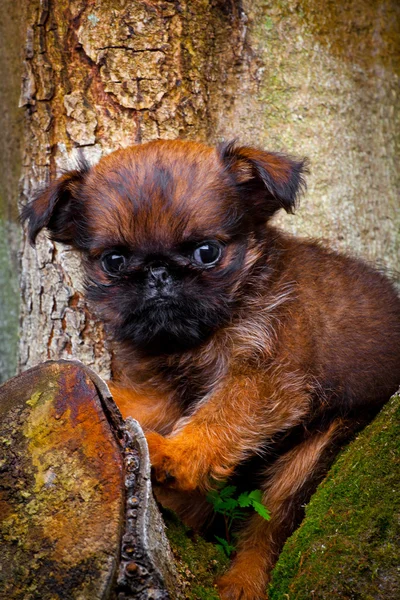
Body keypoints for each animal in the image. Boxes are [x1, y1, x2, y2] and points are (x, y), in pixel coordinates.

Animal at [22, 142, 400, 600]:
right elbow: (131, 402)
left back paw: (240, 581)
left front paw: (174, 455)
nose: (158, 272)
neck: (195, 340)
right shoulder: (164, 391)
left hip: (319, 448)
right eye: (113, 261)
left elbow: (218, 420)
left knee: (273, 522)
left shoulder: (267, 381)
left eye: (207, 253)